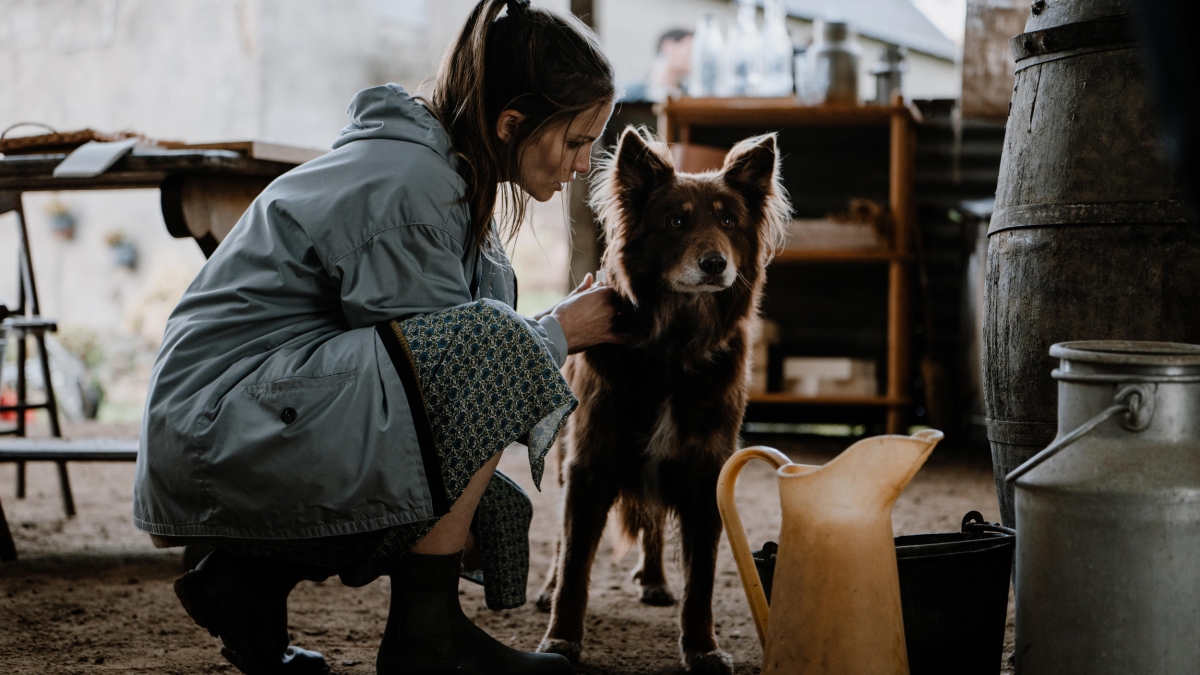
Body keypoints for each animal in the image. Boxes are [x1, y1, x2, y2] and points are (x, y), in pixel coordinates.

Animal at [537, 127, 787, 672]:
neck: (674, 345)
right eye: (676, 221)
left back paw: (653, 579)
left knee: (652, 523)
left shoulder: (704, 473)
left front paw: (702, 648)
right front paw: (561, 638)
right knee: (564, 541)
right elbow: (575, 564)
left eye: (729, 221)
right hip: (566, 459)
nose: (716, 264)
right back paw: (546, 589)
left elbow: (701, 579)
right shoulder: (589, 465)